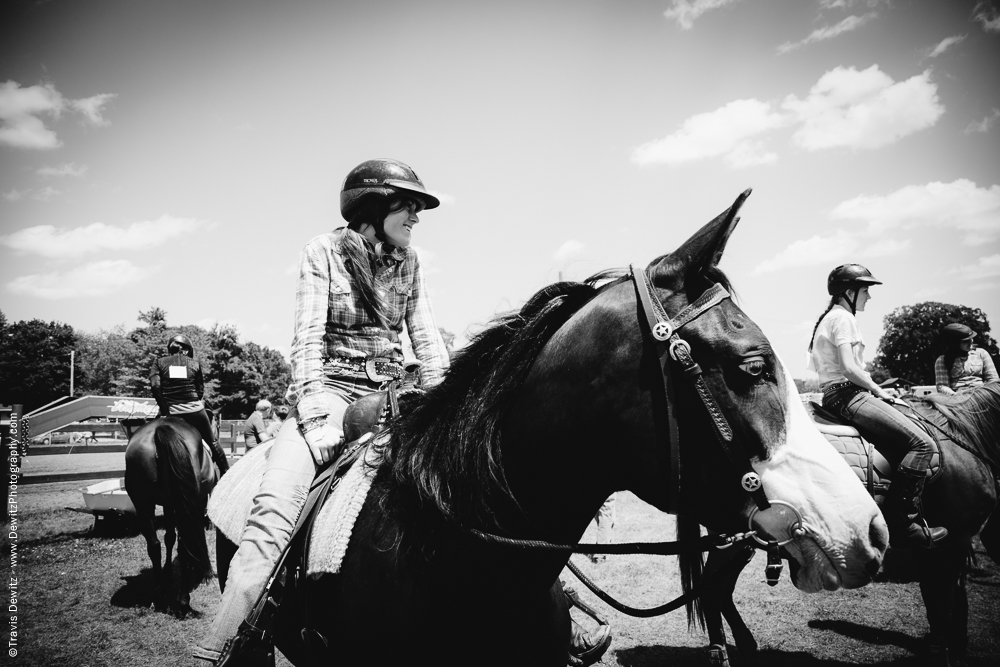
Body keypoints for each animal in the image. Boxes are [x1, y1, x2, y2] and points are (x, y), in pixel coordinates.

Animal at [125, 412, 221, 616]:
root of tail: (160, 430)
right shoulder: (198, 502)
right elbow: (194, 536)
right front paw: (200, 570)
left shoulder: (169, 505)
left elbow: (169, 537)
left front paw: (168, 571)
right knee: (183, 546)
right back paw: (184, 600)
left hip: (143, 504)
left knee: (154, 545)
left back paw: (159, 594)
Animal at [696, 384, 1000, 664]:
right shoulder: (953, 542)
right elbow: (943, 605)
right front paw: (943, 652)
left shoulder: (941, 547)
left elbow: (947, 601)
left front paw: (954, 646)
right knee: (710, 590)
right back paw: (719, 651)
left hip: (737, 541)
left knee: (720, 590)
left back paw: (744, 644)